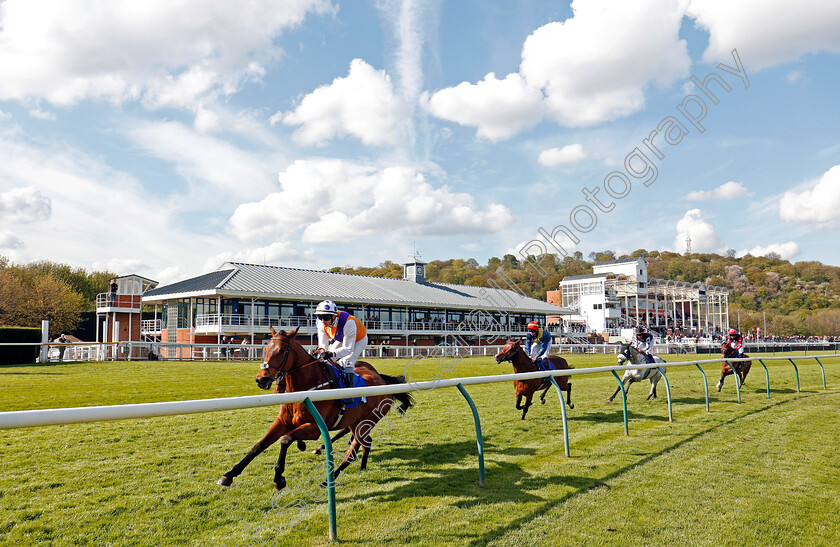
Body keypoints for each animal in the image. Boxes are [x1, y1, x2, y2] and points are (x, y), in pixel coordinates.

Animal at [218, 328, 412, 490]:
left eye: (281, 351)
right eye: (265, 349)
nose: (261, 379)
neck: (304, 389)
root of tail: (381, 379)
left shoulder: (314, 428)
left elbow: (286, 440)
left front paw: (279, 478)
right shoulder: (282, 421)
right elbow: (259, 445)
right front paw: (229, 475)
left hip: (367, 421)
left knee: (353, 449)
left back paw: (328, 479)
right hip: (354, 421)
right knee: (365, 442)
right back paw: (362, 466)